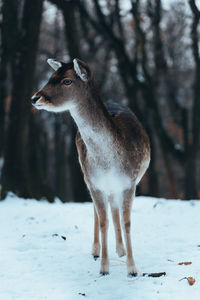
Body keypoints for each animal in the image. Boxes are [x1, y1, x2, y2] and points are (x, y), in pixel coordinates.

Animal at [31, 58, 150, 276]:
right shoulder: (94, 183)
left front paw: (132, 268)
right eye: (52, 76)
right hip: (88, 176)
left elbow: (127, 222)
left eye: (67, 81)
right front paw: (104, 267)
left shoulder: (129, 182)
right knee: (100, 210)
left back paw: (120, 249)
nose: (35, 98)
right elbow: (103, 221)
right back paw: (97, 250)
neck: (109, 162)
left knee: (114, 208)